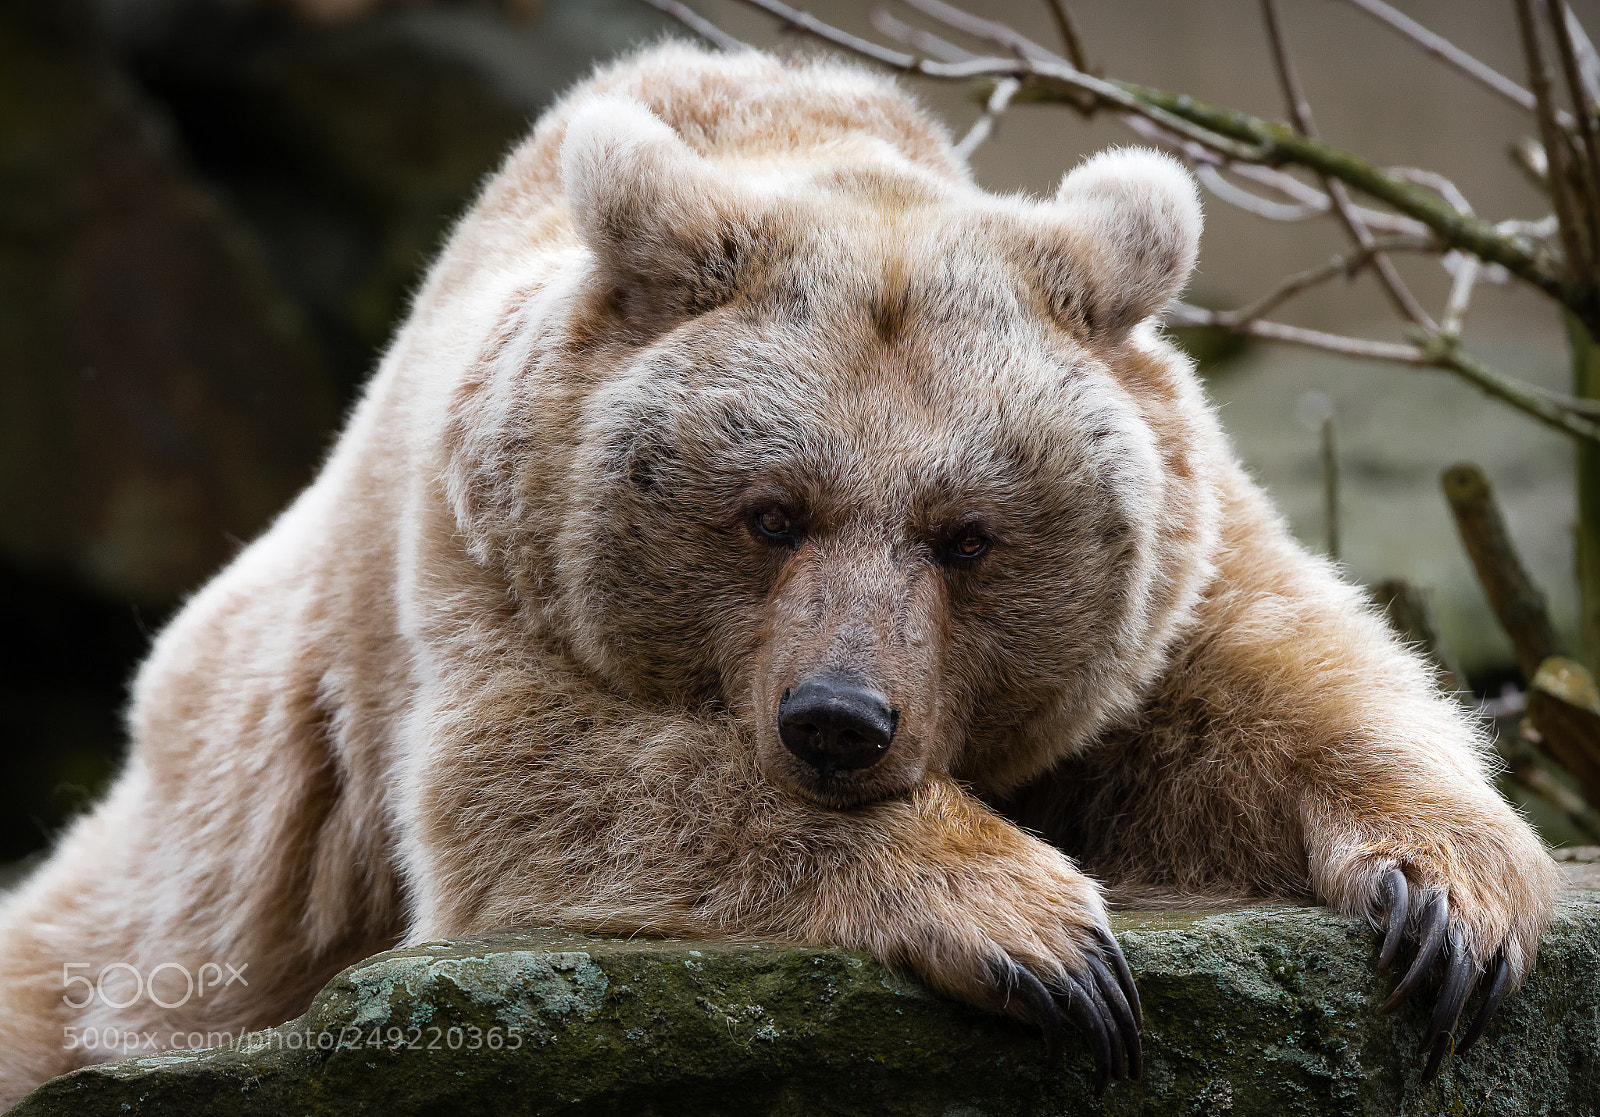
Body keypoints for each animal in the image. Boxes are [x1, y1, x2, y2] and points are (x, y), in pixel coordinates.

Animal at [0, 41, 1559, 1104]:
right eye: (769, 513)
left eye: (967, 532)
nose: (838, 718)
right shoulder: (485, 572)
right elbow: (546, 780)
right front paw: (1040, 933)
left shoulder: (1174, 571)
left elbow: (1280, 680)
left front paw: (1448, 911)